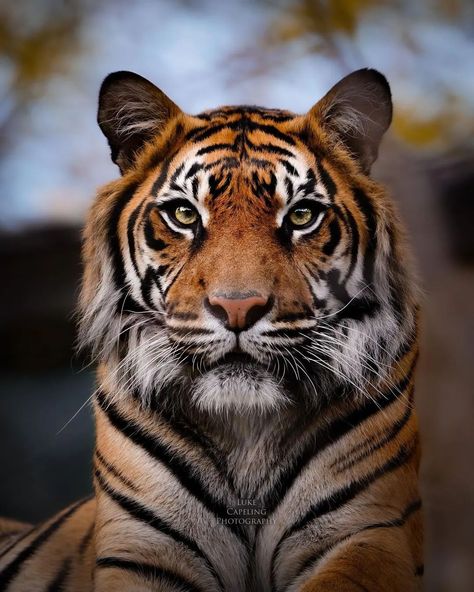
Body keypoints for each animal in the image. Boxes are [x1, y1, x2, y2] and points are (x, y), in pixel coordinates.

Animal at [0, 68, 422, 592]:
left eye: (301, 216)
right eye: (184, 214)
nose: (237, 308)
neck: (245, 430)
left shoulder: (371, 530)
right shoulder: (141, 551)